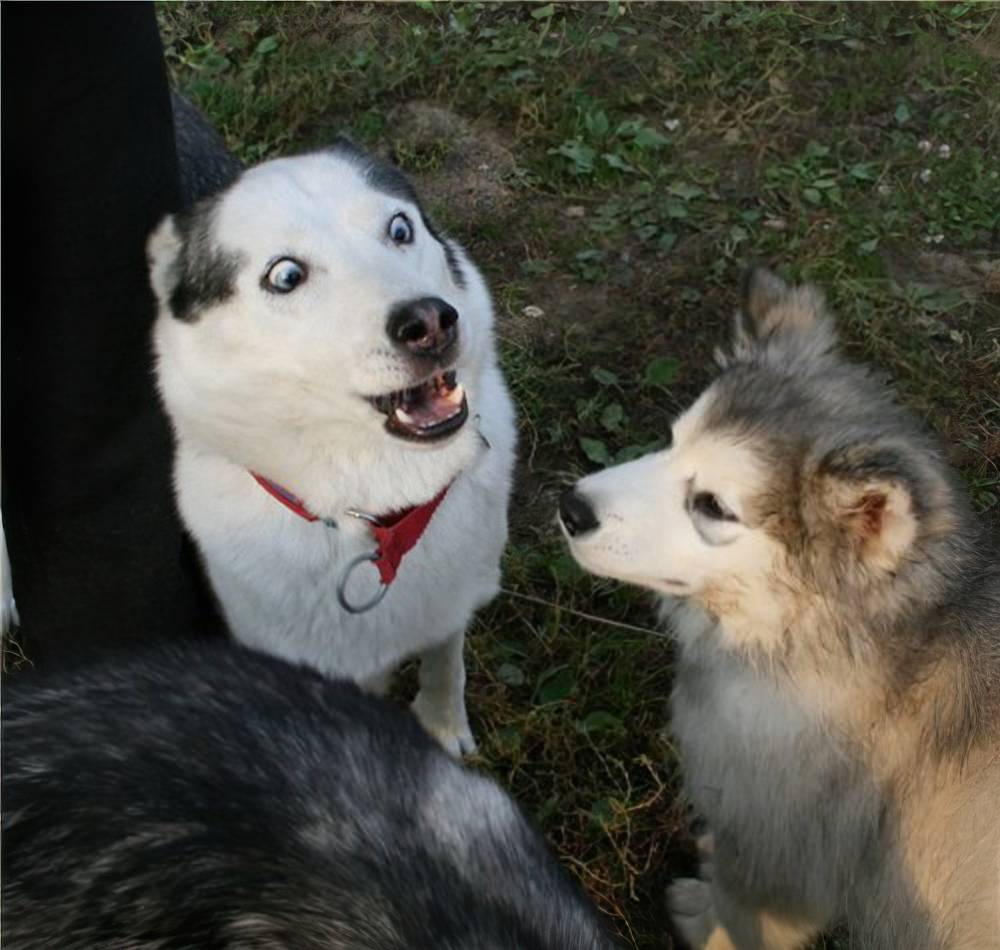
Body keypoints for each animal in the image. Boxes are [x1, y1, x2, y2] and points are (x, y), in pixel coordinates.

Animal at [148, 138, 516, 756]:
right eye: (286, 275)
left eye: (400, 228)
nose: (430, 322)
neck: (381, 509)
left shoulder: (453, 598)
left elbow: (445, 661)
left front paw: (443, 725)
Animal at [564, 270, 1000, 950]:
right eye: (670, 442)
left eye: (713, 506)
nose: (571, 508)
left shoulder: (786, 853)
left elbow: (744, 909)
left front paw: (704, 919)